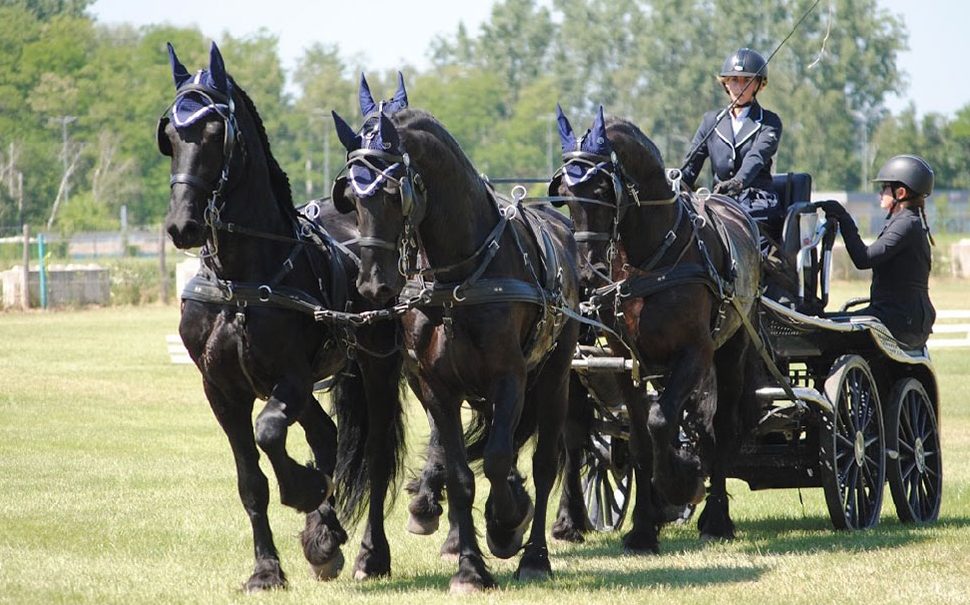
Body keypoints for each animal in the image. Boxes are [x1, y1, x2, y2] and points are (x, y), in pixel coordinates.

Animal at [156, 42, 404, 588]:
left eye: (215, 132)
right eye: (170, 135)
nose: (182, 225)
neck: (241, 281)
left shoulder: (289, 376)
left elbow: (269, 432)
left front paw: (304, 490)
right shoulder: (221, 389)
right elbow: (251, 480)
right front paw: (267, 568)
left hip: (374, 365)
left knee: (372, 455)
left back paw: (368, 552)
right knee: (325, 435)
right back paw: (323, 537)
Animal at [328, 100, 580, 596]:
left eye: (394, 193)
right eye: (351, 196)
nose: (372, 284)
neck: (458, 279)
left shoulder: (510, 377)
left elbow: (499, 458)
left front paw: (505, 522)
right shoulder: (437, 387)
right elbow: (461, 474)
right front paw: (470, 568)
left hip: (555, 375)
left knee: (544, 462)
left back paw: (534, 554)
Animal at [544, 106, 764, 548]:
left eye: (602, 189)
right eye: (567, 196)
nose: (586, 272)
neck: (649, 259)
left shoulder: (695, 352)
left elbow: (663, 420)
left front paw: (679, 483)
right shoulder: (625, 359)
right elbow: (642, 437)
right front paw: (645, 526)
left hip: (731, 351)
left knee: (721, 427)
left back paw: (716, 517)